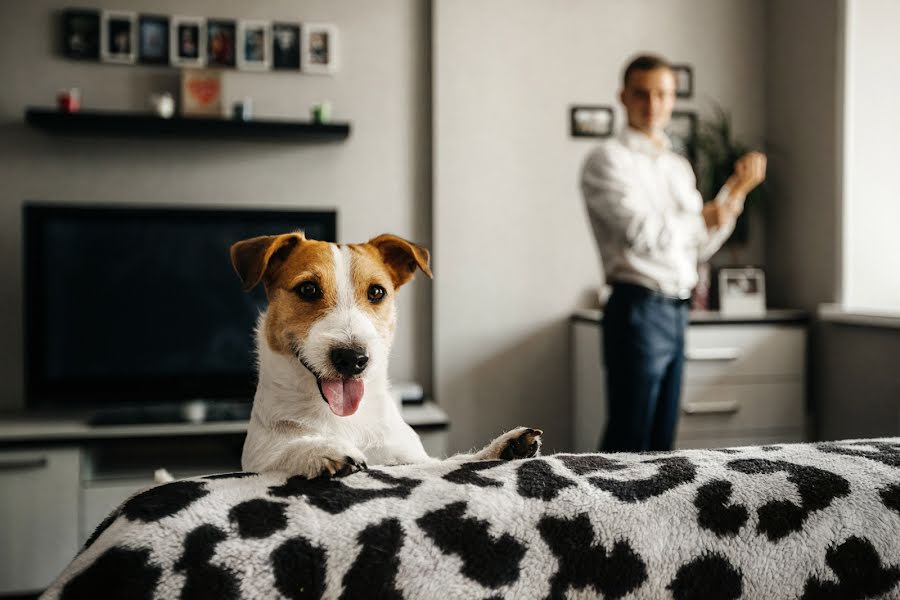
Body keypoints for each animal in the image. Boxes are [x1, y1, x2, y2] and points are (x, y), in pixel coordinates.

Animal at [232, 231, 540, 478]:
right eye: (308, 289)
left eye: (377, 292)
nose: (352, 358)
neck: (345, 419)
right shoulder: (261, 455)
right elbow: (283, 452)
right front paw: (322, 450)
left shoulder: (411, 459)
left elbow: (448, 461)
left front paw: (503, 448)